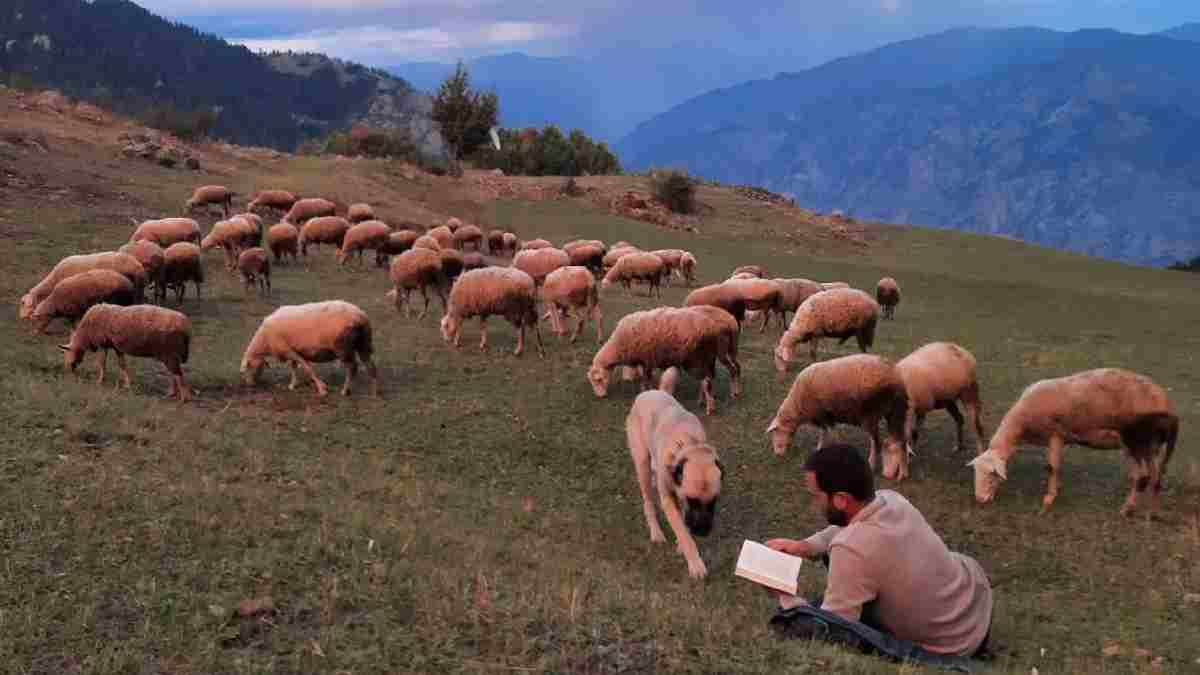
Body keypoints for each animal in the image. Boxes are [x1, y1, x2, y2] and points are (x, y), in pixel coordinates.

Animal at [59, 300, 192, 398]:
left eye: (67, 354)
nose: (69, 371)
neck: (85, 334)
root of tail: (185, 325)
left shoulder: (102, 344)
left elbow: (102, 363)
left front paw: (100, 381)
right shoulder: (117, 347)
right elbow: (122, 364)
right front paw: (127, 385)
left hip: (169, 352)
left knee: (177, 374)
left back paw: (184, 398)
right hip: (170, 354)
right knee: (173, 373)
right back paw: (172, 393)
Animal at [240, 297, 379, 393]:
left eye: (248, 368)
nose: (250, 385)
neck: (264, 341)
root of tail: (360, 316)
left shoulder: (288, 350)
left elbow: (307, 368)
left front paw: (322, 389)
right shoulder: (292, 350)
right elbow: (293, 368)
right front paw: (293, 385)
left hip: (343, 348)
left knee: (352, 367)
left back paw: (345, 391)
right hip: (364, 343)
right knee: (370, 365)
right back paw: (375, 391)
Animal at [624, 365, 724, 576]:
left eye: (714, 501)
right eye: (692, 500)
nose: (702, 532)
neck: (688, 443)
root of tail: (651, 392)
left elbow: (683, 523)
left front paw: (682, 543)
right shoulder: (670, 499)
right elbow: (681, 529)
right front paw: (694, 561)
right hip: (642, 464)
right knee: (648, 502)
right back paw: (656, 532)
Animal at [768, 348, 907, 475]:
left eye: (775, 433)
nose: (778, 455)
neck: (797, 405)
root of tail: (893, 372)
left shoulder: (822, 414)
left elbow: (825, 433)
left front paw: (821, 448)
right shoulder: (828, 415)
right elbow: (828, 431)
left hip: (871, 413)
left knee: (875, 441)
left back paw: (871, 464)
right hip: (894, 412)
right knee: (900, 439)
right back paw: (903, 471)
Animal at [969, 367, 1176, 514]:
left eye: (992, 474)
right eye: (975, 471)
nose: (979, 500)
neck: (1022, 424)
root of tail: (1163, 399)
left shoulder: (1055, 434)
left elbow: (1052, 467)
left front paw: (1049, 499)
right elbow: (1055, 466)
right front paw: (1056, 488)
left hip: (1135, 443)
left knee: (1141, 476)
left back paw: (1128, 508)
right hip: (1151, 446)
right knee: (1155, 475)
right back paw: (1152, 511)